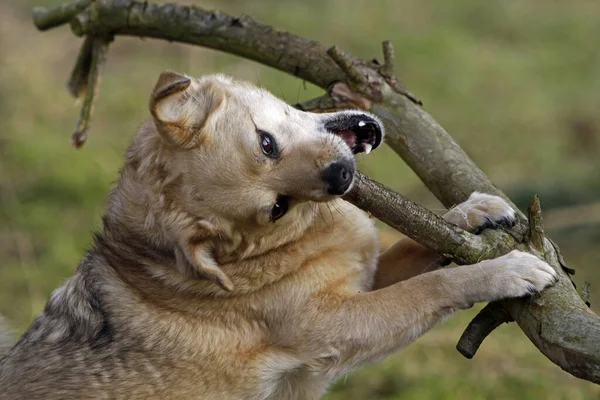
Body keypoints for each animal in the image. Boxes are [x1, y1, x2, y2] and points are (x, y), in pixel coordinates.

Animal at [0, 70, 556, 398]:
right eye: (275, 207)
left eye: (266, 143)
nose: (341, 177)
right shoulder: (334, 328)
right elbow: (430, 287)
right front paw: (506, 272)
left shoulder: (364, 274)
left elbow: (416, 246)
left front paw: (473, 212)